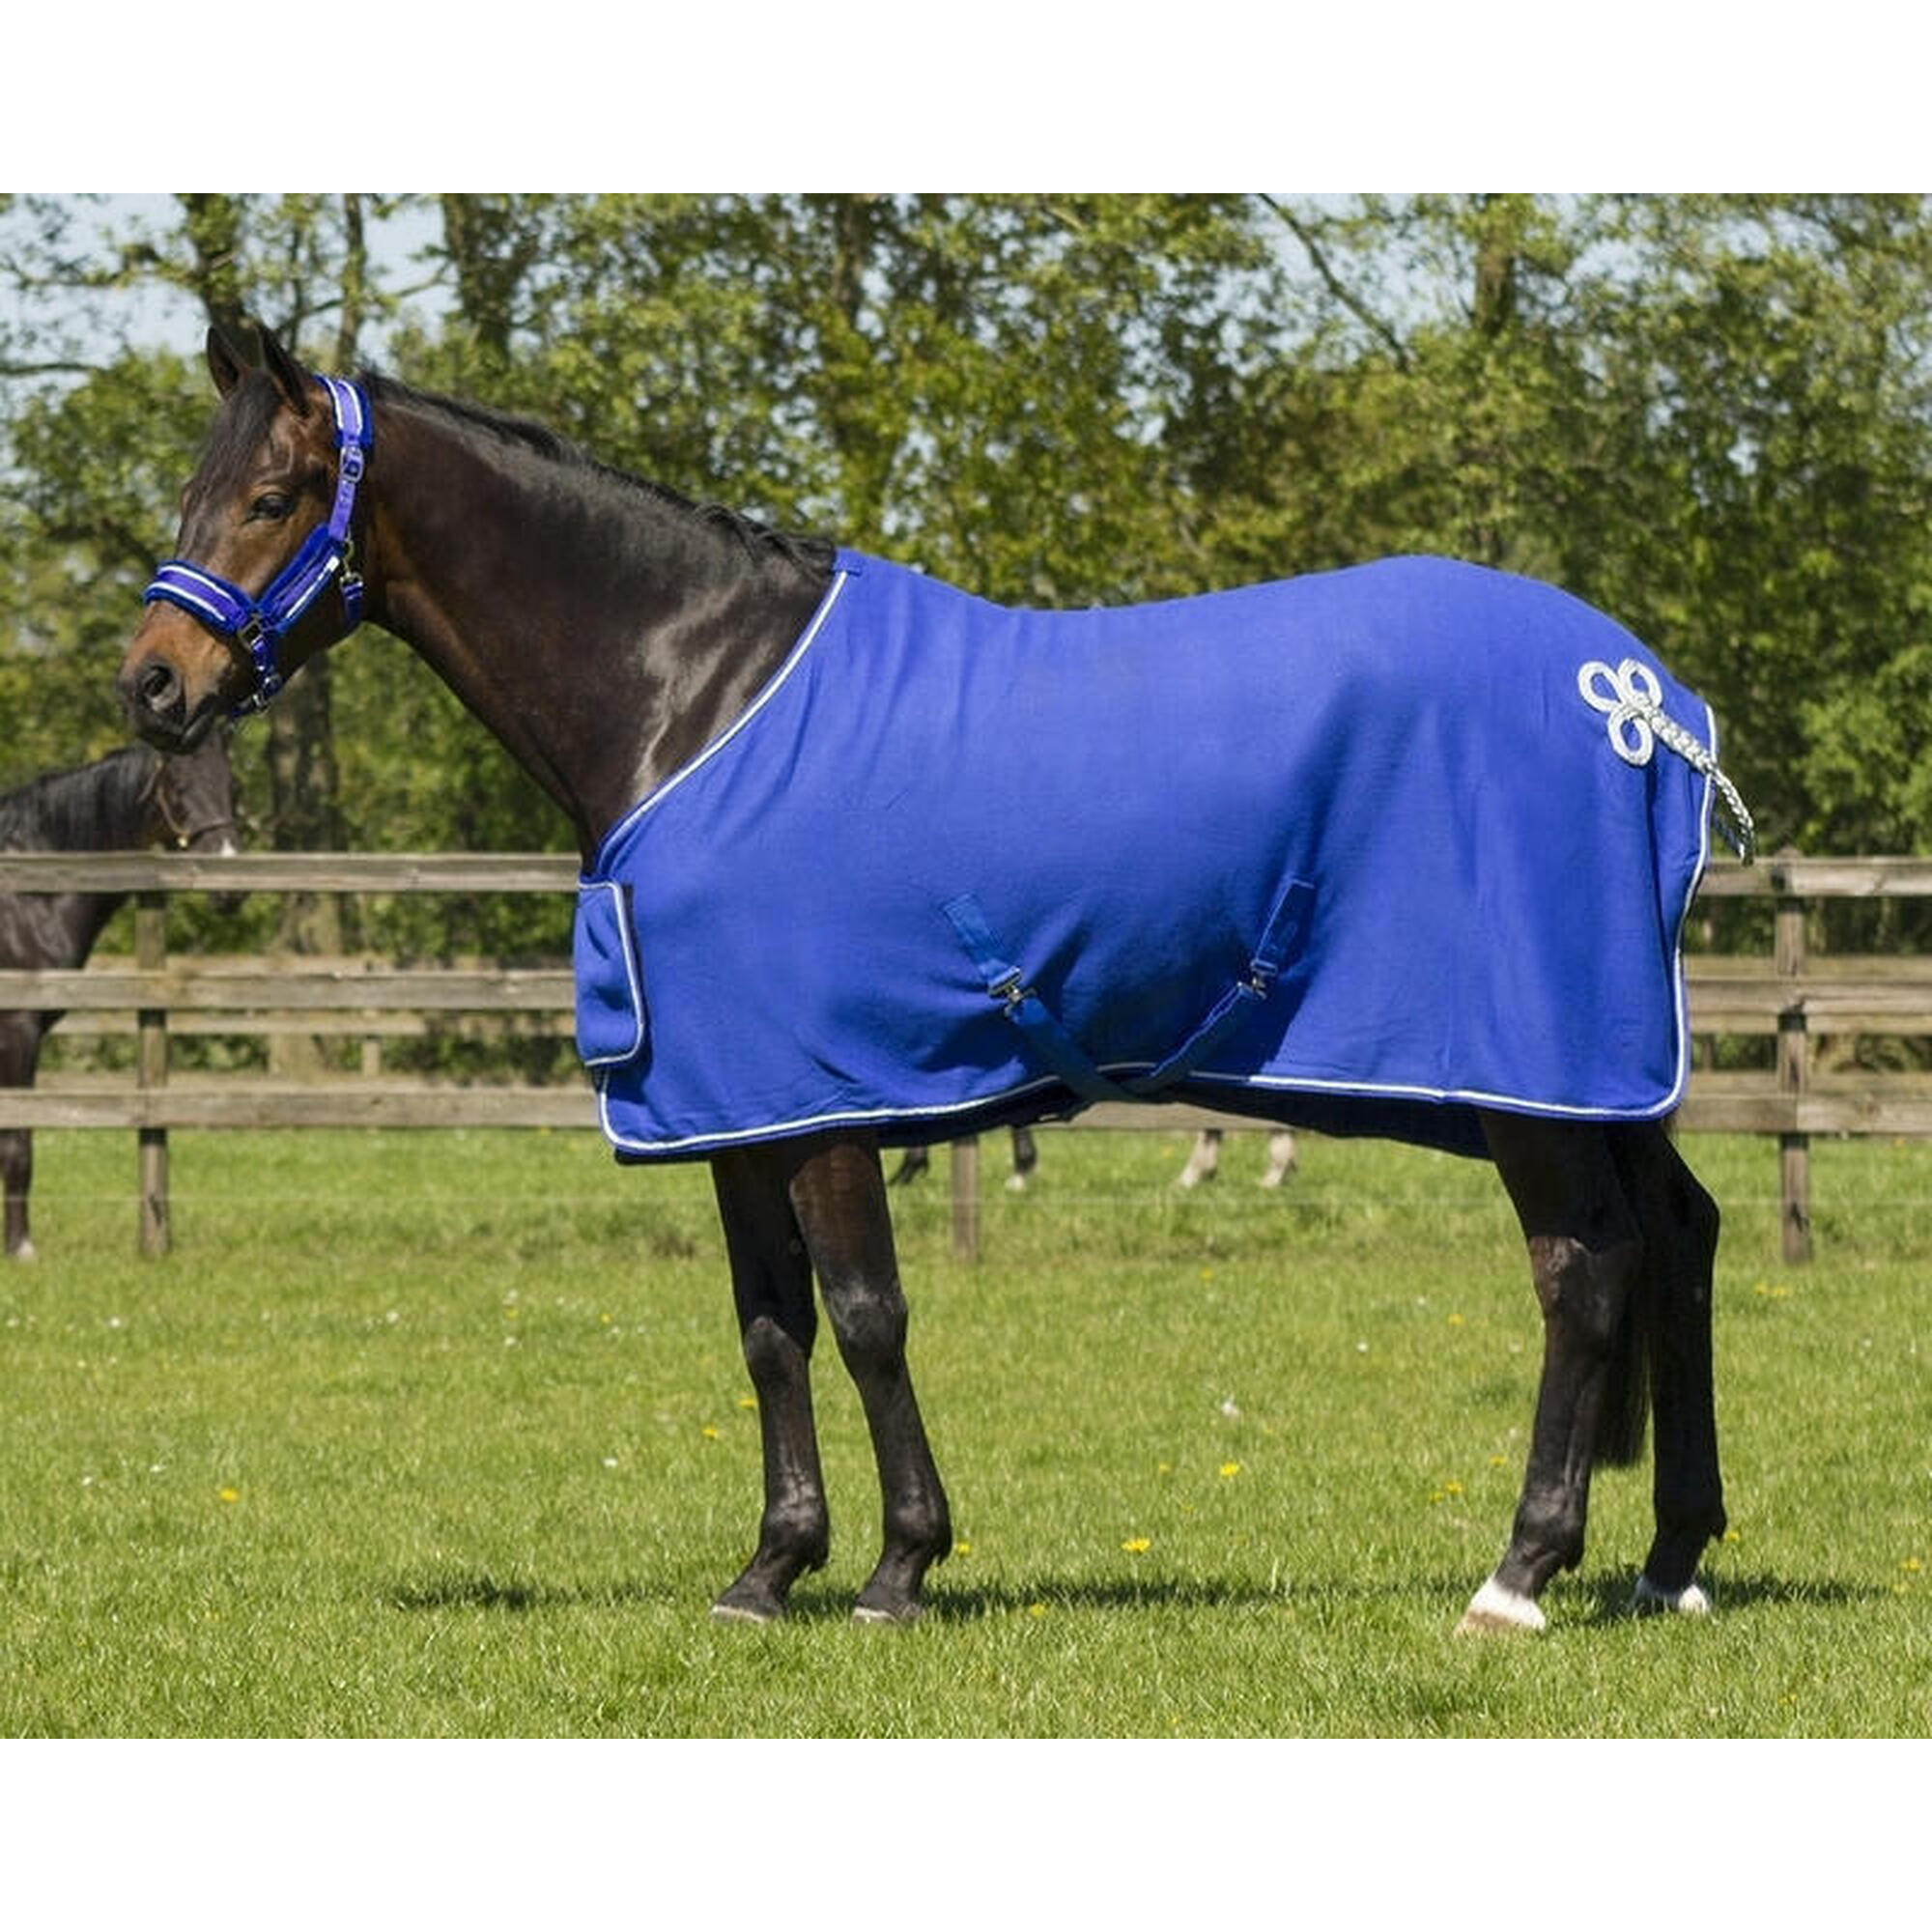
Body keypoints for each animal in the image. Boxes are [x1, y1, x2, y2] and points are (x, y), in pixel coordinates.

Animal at [1, 733, 239, 1258]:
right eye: (181, 786)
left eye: (233, 783)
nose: (231, 888)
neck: (28, 897)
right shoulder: (17, 1030)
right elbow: (18, 1142)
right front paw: (21, 1248)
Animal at [119, 325, 1745, 1635]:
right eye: (193, 491)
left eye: (273, 497)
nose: (151, 685)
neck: (696, 695)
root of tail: (1644, 700)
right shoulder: (736, 1106)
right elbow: (769, 1329)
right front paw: (771, 1569)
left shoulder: (828, 1100)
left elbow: (863, 1316)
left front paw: (900, 1568)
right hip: (1597, 1069)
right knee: (1680, 1238)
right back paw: (1671, 1561)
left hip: (1533, 1073)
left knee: (1585, 1271)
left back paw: (1518, 1576)